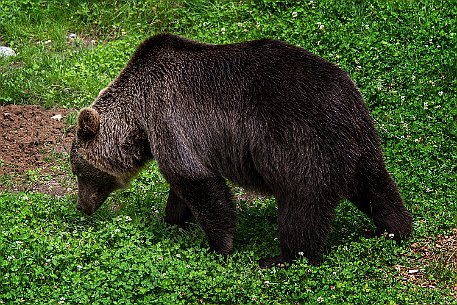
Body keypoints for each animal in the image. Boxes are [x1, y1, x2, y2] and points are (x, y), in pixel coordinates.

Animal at [69, 33, 412, 266]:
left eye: (79, 172)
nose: (82, 206)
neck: (138, 117)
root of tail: (346, 99)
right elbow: (181, 187)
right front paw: (174, 219)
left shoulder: (169, 117)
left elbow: (198, 184)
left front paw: (219, 246)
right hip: (359, 141)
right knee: (377, 187)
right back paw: (394, 229)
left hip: (299, 143)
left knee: (301, 206)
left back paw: (282, 258)